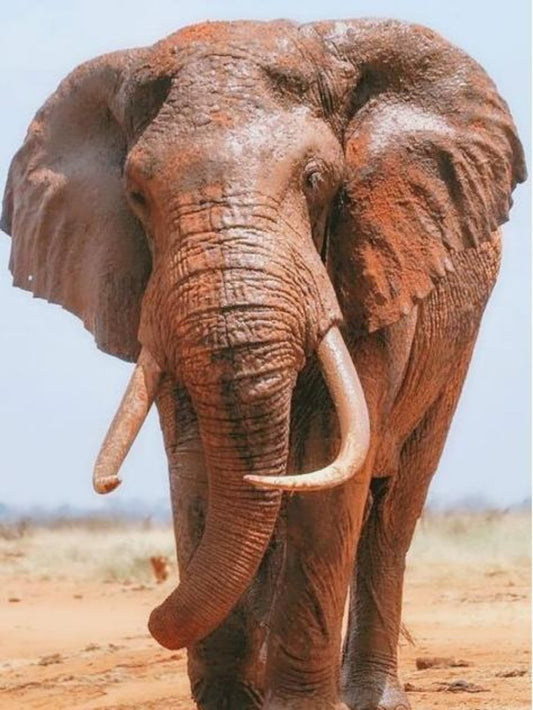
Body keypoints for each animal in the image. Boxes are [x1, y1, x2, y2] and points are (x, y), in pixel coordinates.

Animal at [1, 17, 525, 710]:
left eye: (314, 179)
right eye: (136, 194)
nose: (152, 617)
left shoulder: (372, 261)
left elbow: (329, 463)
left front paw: (301, 706)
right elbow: (197, 467)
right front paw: (233, 701)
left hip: (455, 338)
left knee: (394, 509)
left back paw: (372, 698)